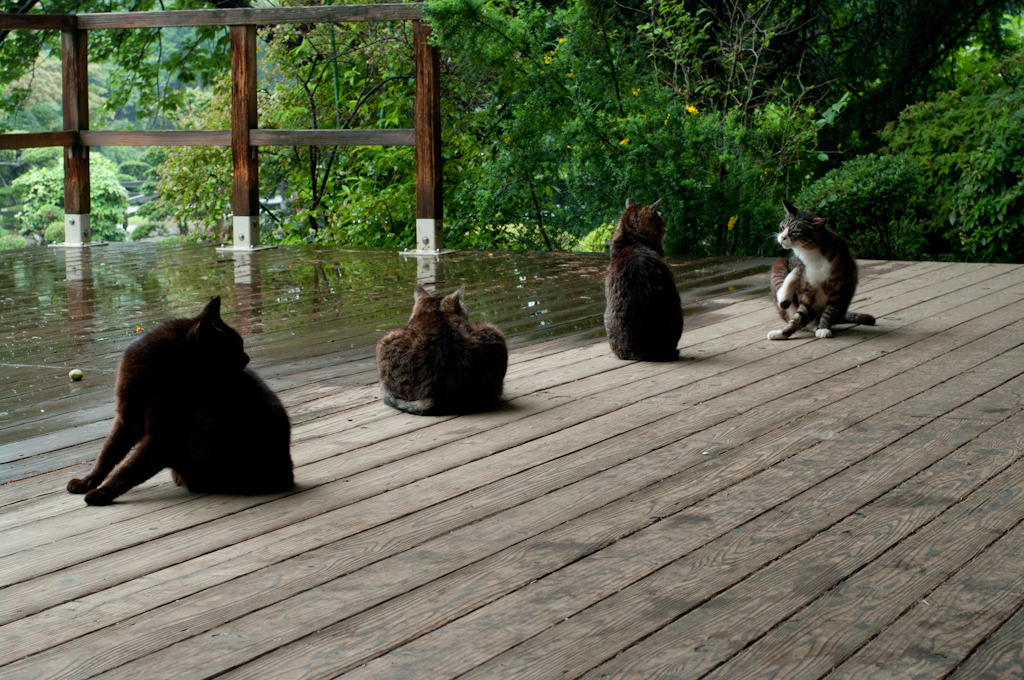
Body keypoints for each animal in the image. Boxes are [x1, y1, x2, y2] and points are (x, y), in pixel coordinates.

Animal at [66, 296, 292, 503]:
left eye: (241, 345)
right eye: (234, 349)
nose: (247, 358)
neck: (157, 370)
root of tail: (287, 474)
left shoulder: (162, 436)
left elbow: (129, 470)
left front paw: (103, 493)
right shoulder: (126, 418)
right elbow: (107, 455)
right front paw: (87, 482)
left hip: (207, 422)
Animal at [770, 200, 876, 340]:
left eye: (794, 232)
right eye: (782, 227)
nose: (781, 238)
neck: (809, 253)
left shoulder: (838, 291)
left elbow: (828, 312)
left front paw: (823, 328)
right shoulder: (808, 293)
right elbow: (798, 318)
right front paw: (783, 333)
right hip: (779, 262)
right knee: (782, 298)